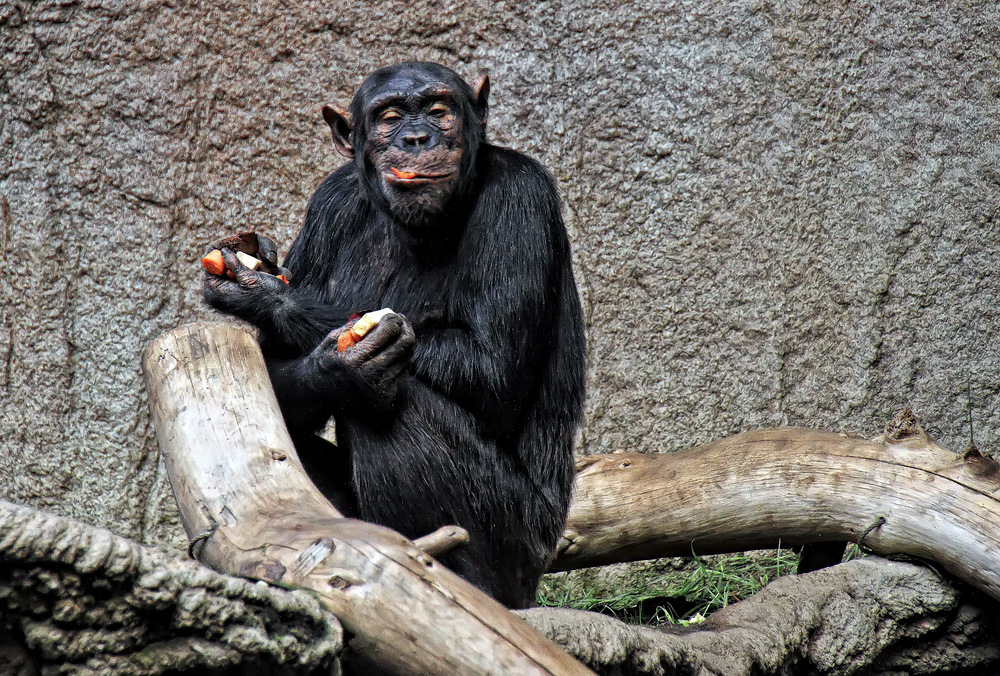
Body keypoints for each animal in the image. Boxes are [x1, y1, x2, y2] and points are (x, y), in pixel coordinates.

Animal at [201, 62, 584, 608]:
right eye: (390, 116)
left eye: (439, 110)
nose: (418, 137)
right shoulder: (328, 203)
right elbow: (272, 377)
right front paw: (333, 367)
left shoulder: (519, 197)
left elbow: (491, 364)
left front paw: (266, 294)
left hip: (520, 546)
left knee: (399, 404)